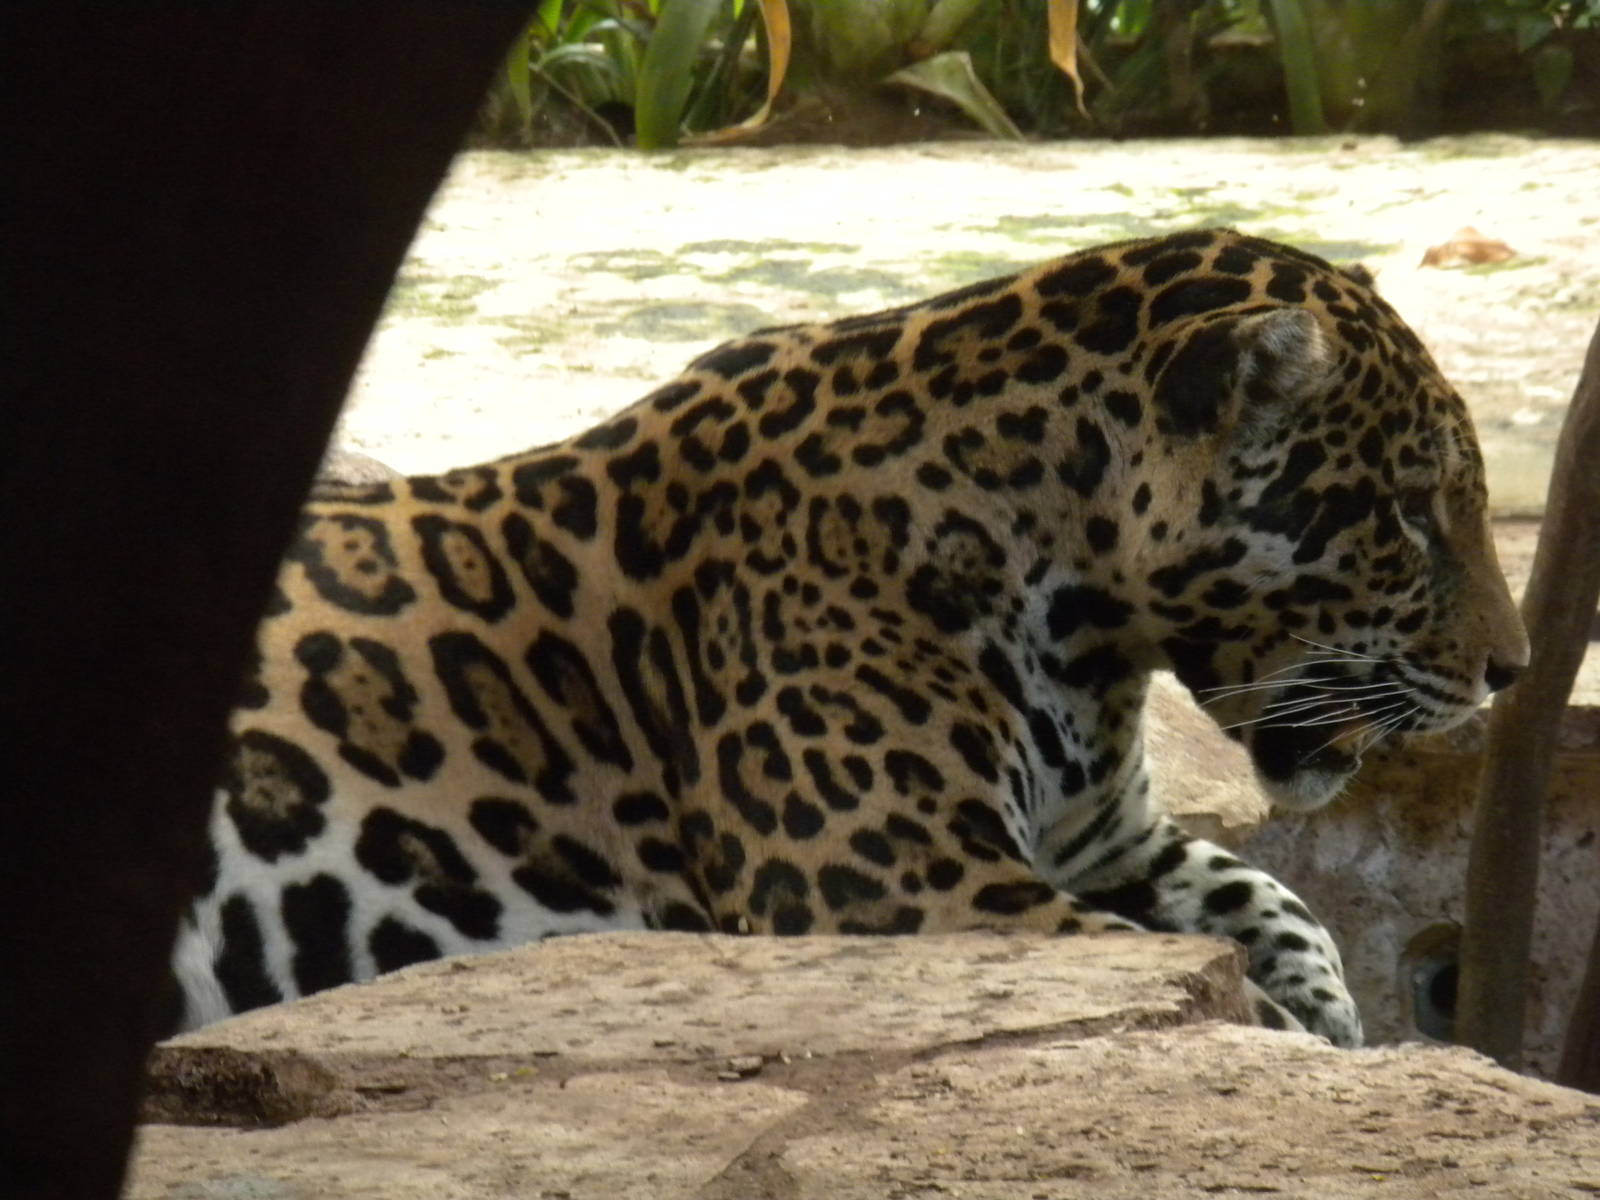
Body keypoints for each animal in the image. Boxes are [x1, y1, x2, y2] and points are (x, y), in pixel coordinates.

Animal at [169, 229, 1528, 1048]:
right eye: (1411, 507)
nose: (1507, 671)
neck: (1089, 627)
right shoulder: (906, 892)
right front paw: (1307, 1040)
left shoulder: (1101, 840)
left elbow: (1269, 901)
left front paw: (1331, 1011)